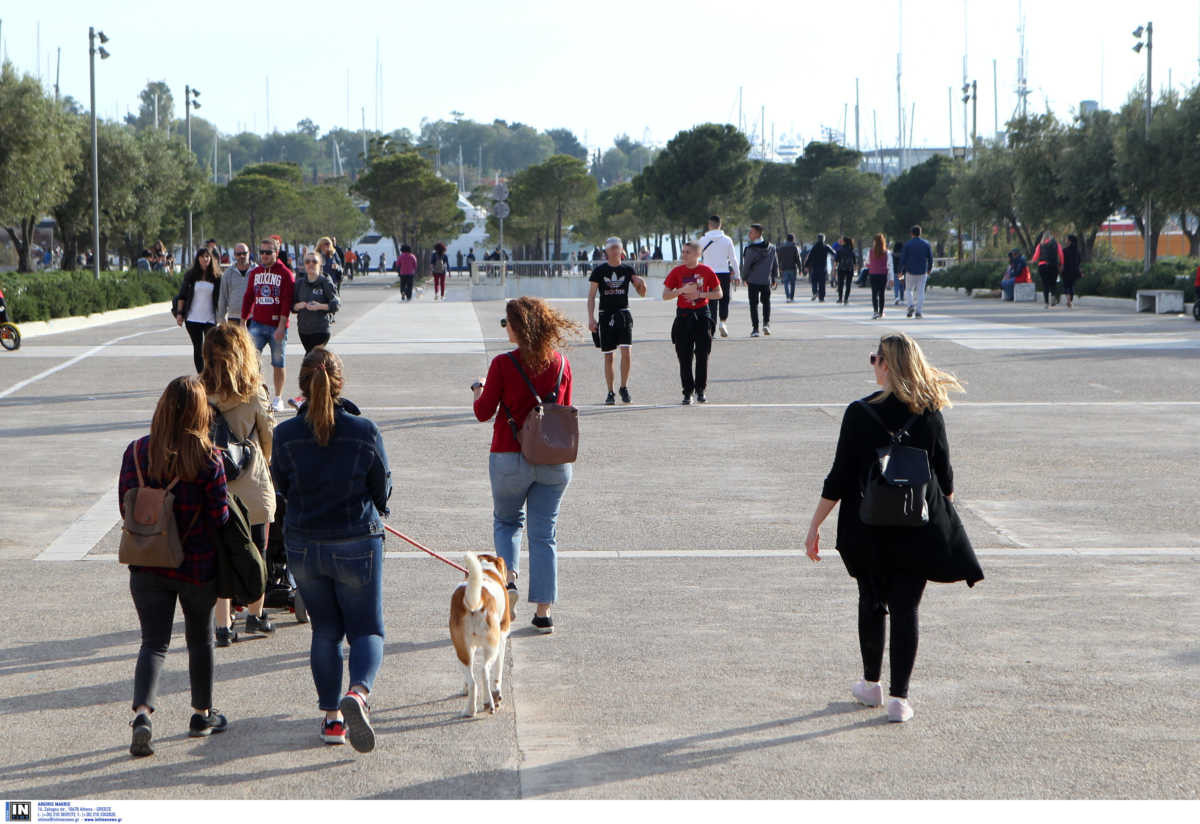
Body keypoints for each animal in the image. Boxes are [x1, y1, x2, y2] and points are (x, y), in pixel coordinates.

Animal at [448, 556, 508, 719]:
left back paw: (469, 710)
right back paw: (489, 703)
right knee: (484, 671)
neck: (486, 570)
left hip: (461, 649)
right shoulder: (502, 638)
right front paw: (497, 694)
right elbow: (498, 673)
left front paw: (464, 689)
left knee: (473, 680)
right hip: (492, 647)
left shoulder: (471, 648)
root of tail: (473, 600)